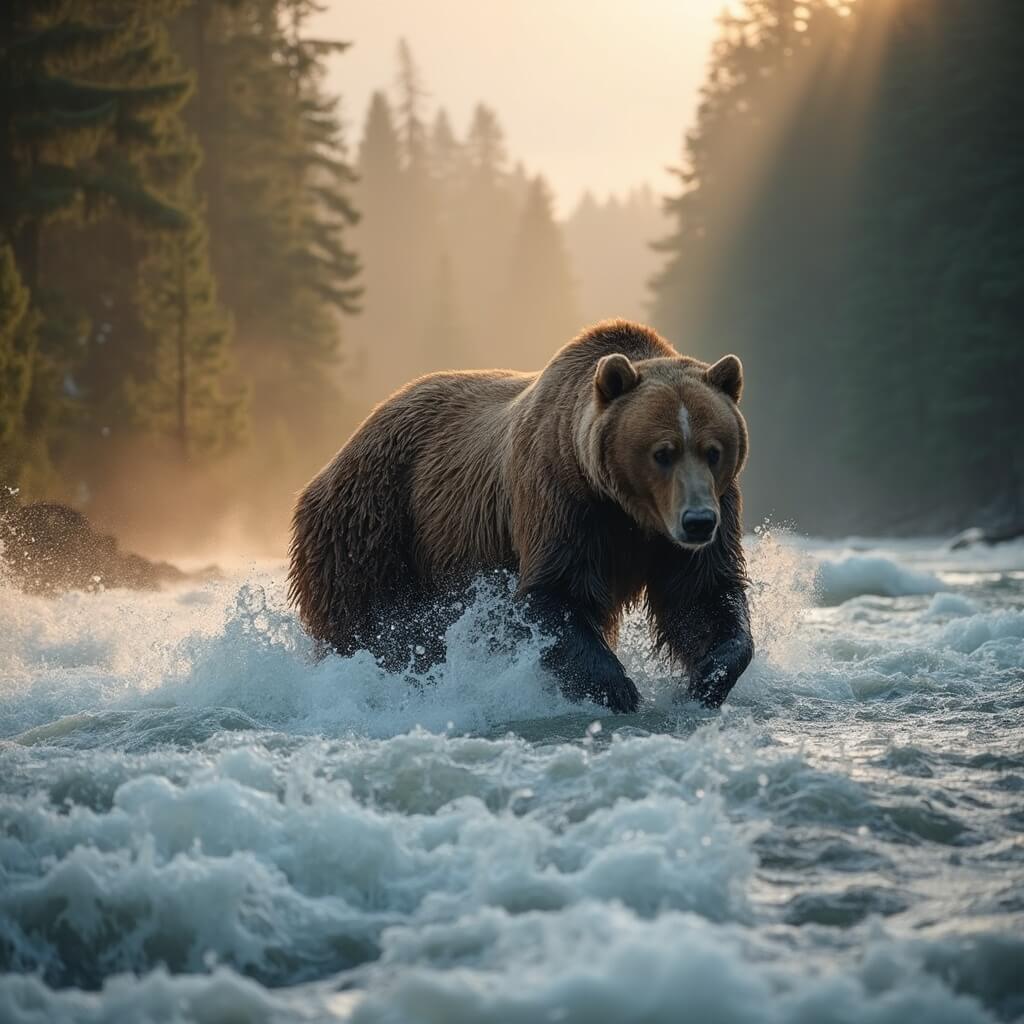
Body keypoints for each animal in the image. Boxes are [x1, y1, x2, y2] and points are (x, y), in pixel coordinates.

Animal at [288, 319, 753, 711]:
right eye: (662, 452)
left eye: (713, 450)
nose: (697, 521)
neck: (629, 510)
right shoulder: (562, 497)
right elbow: (554, 593)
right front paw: (619, 688)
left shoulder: (705, 512)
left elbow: (701, 596)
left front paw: (708, 678)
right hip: (375, 523)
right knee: (370, 624)